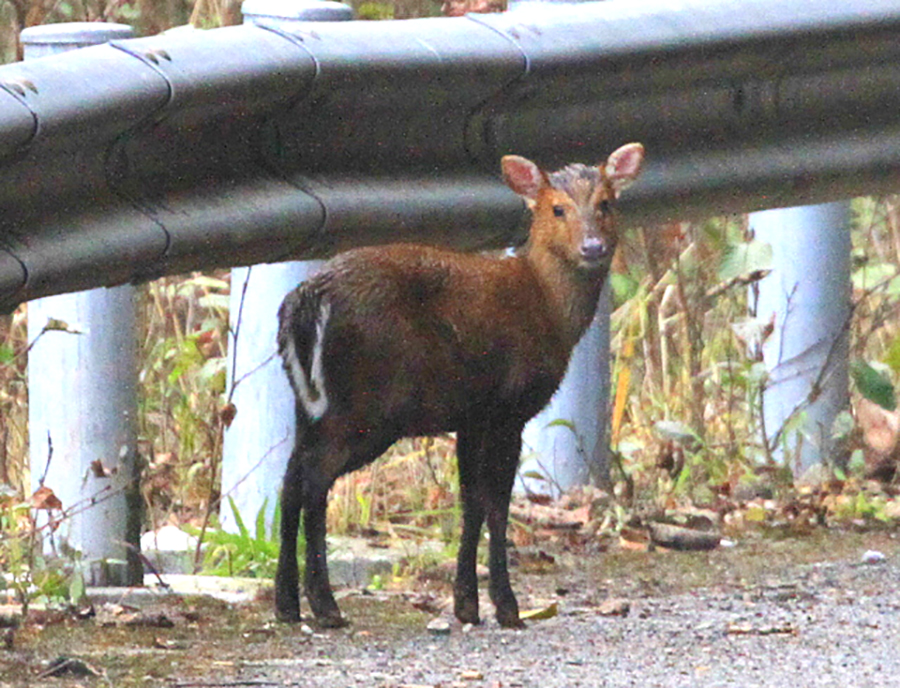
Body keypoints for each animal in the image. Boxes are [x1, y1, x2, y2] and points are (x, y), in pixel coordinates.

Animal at [278, 142, 644, 632]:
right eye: (557, 208)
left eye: (605, 203)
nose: (593, 246)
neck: (548, 309)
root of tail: (305, 301)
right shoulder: (509, 405)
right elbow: (497, 503)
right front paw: (507, 607)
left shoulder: (471, 414)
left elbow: (470, 503)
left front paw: (466, 604)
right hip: (367, 405)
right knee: (315, 479)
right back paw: (325, 606)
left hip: (309, 402)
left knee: (291, 478)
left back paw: (287, 604)